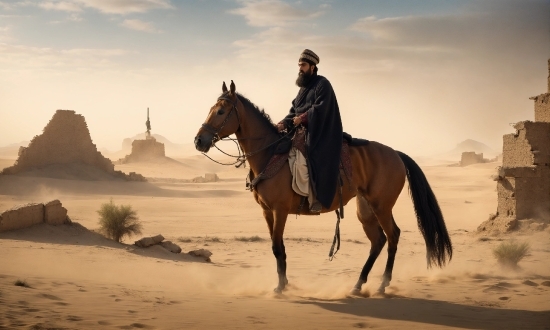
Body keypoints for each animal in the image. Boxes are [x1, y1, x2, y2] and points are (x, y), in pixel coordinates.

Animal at [194, 81, 452, 296]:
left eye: (221, 111)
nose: (199, 141)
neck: (269, 153)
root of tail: (397, 154)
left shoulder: (280, 210)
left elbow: (277, 247)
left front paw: (280, 287)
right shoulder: (267, 211)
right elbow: (279, 247)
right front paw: (285, 283)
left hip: (382, 206)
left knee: (393, 236)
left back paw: (382, 285)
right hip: (366, 209)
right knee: (378, 240)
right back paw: (358, 284)